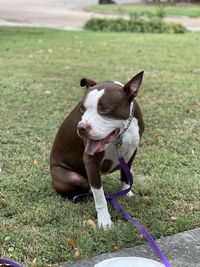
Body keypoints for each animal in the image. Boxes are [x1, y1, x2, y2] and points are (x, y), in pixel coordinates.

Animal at [49, 72, 144, 229]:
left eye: (104, 109)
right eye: (82, 108)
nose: (81, 128)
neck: (122, 132)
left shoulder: (131, 152)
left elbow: (126, 174)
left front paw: (127, 192)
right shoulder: (91, 160)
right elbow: (100, 198)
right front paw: (104, 220)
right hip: (72, 177)